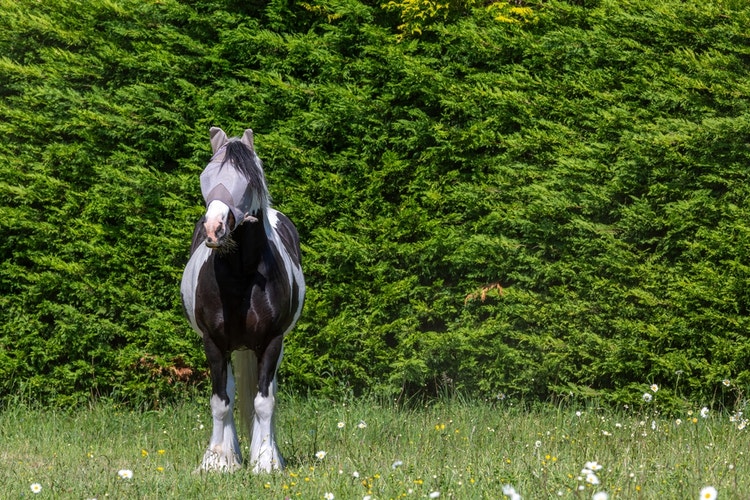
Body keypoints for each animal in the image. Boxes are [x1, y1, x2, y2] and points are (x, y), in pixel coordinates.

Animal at [180, 127, 305, 473]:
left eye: (248, 181)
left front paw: (265, 462)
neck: (241, 274)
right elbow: (221, 402)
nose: (214, 228)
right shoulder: (213, 342)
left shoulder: (272, 341)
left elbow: (265, 402)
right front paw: (217, 462)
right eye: (206, 176)